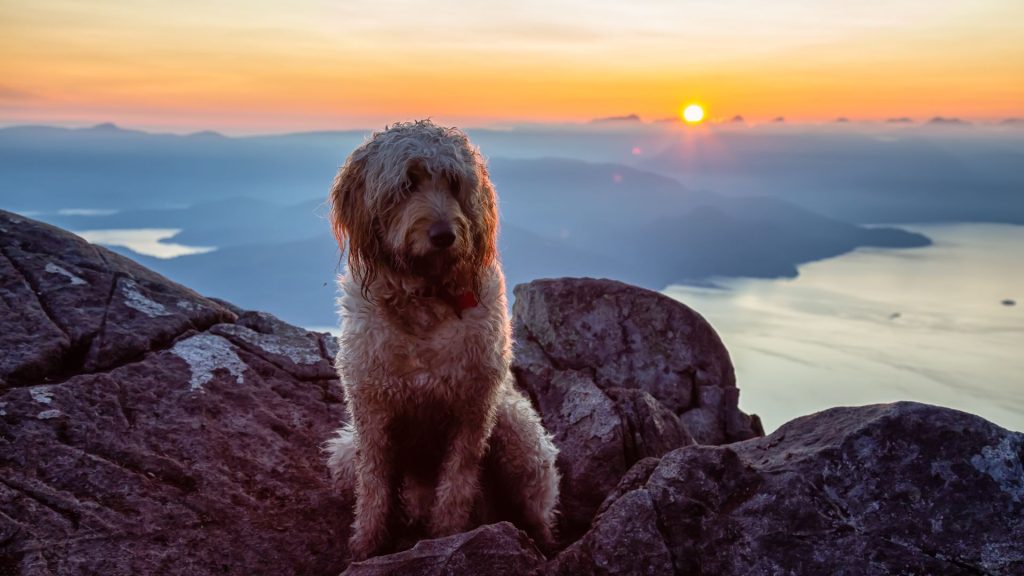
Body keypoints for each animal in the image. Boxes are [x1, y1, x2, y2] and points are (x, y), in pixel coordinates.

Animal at [323, 118, 561, 557]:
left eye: (453, 183)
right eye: (407, 183)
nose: (443, 235)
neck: (424, 298)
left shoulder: (471, 409)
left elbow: (457, 484)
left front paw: (447, 536)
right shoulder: (372, 412)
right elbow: (375, 486)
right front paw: (366, 545)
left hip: (520, 437)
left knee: (535, 508)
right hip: (345, 453)